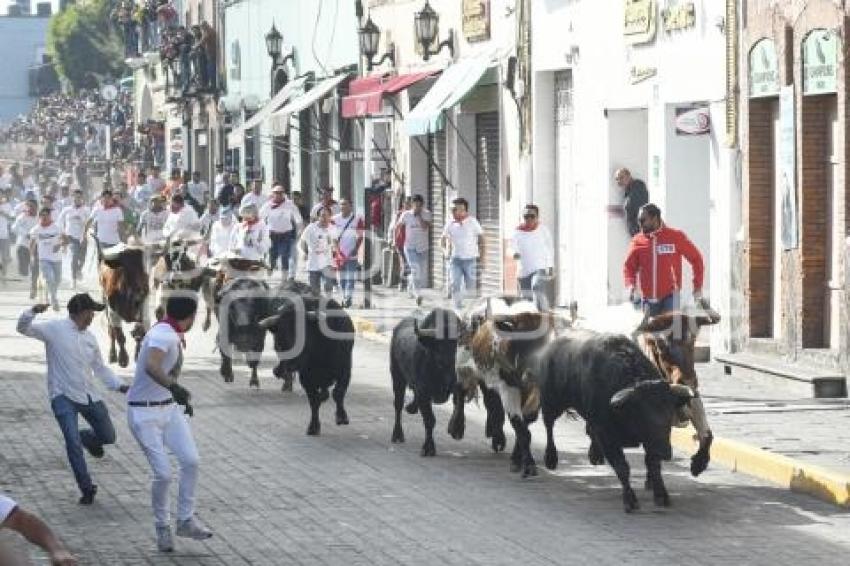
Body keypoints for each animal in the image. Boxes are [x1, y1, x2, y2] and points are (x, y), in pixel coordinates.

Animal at [258, 286, 352, 438]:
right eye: (278, 344)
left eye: (300, 335)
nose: (280, 371)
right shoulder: (306, 379)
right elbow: (314, 401)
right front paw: (313, 426)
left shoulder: (345, 370)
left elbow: (338, 393)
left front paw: (341, 417)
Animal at [390, 308, 504, 460]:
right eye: (441, 349)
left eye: (465, 347)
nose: (458, 376)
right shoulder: (423, 392)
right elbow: (429, 420)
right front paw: (428, 447)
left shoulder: (458, 388)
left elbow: (458, 406)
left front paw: (456, 428)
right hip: (397, 378)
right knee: (398, 405)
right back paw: (397, 434)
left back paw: (412, 408)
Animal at [454, 298, 552, 480]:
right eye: (526, 342)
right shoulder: (509, 389)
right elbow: (520, 427)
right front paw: (528, 465)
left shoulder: (535, 398)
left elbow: (525, 425)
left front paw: (517, 458)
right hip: (463, 365)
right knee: (461, 390)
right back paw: (457, 427)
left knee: (491, 402)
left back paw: (496, 435)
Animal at [536, 332, 696, 516]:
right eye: (642, 415)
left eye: (669, 415)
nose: (665, 452)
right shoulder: (608, 437)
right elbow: (622, 467)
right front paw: (630, 500)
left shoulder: (650, 442)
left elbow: (653, 466)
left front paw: (661, 495)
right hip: (551, 401)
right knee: (549, 426)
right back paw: (551, 458)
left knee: (588, 430)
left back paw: (595, 455)